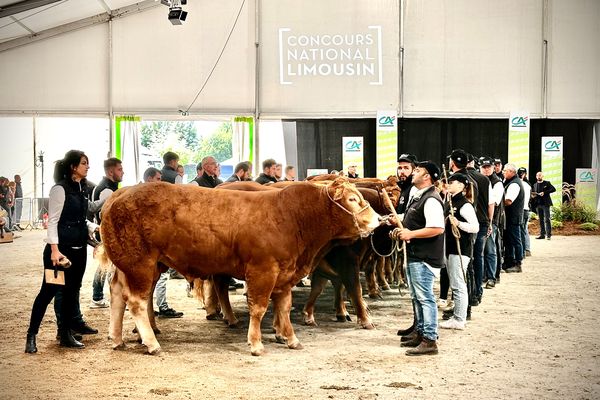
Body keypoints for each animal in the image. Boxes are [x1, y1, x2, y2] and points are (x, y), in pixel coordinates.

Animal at [100, 178, 378, 356]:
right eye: (352, 199)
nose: (378, 219)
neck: (291, 216)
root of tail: (120, 194)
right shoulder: (263, 270)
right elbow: (259, 307)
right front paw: (255, 343)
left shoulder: (285, 273)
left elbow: (284, 307)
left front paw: (290, 338)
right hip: (140, 263)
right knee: (136, 301)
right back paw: (151, 342)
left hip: (129, 265)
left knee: (117, 295)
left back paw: (117, 339)